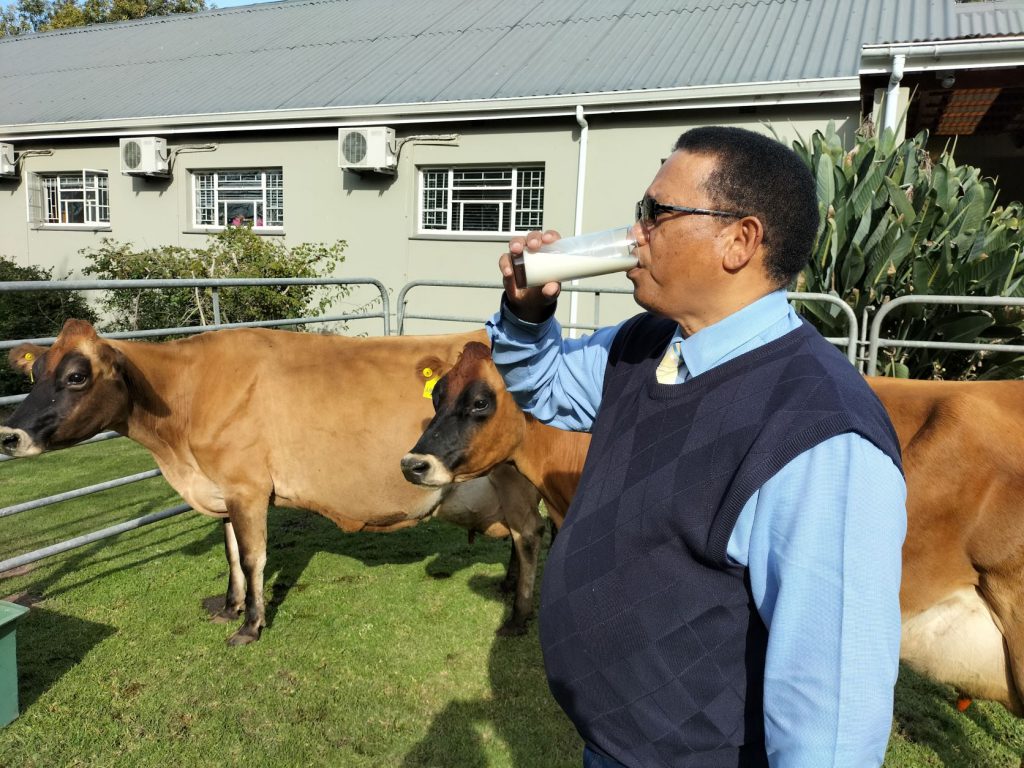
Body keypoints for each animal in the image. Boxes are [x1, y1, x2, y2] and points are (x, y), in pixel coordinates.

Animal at [0, 321, 544, 647]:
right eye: (35, 372)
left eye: (76, 376)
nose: (9, 435)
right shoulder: (222, 487)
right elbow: (230, 554)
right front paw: (230, 606)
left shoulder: (248, 488)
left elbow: (253, 557)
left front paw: (251, 625)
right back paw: (507, 586)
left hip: (515, 479)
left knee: (530, 535)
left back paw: (519, 616)